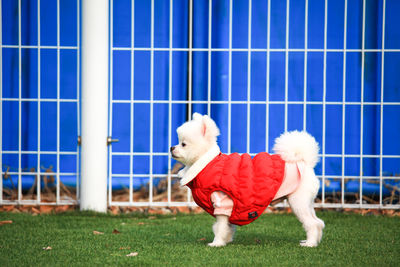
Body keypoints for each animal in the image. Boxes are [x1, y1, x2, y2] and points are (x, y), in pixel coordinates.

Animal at [170, 113, 324, 247]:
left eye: (183, 144)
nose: (171, 147)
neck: (208, 164)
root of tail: (304, 162)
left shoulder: (222, 203)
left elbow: (220, 227)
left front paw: (217, 243)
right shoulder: (230, 207)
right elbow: (227, 226)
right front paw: (226, 240)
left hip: (298, 201)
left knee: (312, 223)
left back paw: (310, 244)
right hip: (307, 202)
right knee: (318, 222)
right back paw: (313, 241)